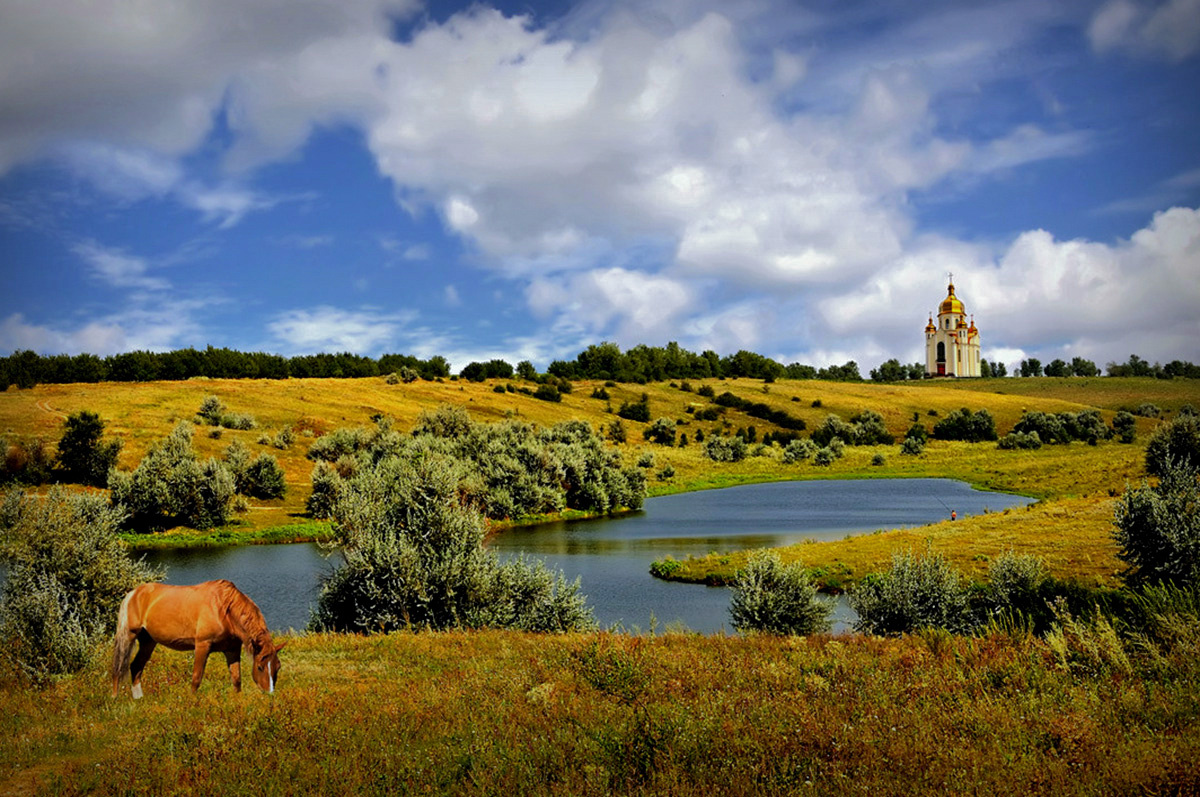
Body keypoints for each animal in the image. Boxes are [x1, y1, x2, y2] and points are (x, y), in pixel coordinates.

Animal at [112, 580, 285, 699]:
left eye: (278, 667)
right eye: (260, 667)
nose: (270, 694)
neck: (223, 609)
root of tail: (133, 593)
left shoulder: (232, 650)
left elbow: (236, 679)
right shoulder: (202, 645)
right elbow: (196, 677)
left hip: (148, 641)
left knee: (136, 666)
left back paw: (138, 699)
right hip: (129, 635)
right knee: (119, 666)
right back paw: (115, 697)